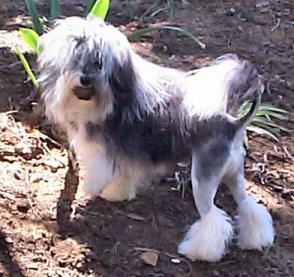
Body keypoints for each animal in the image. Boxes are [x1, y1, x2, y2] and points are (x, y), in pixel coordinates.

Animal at [37, 16, 276, 260]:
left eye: (99, 63)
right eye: (76, 59)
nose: (85, 79)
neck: (114, 98)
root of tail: (233, 123)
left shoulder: (106, 153)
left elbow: (103, 172)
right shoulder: (127, 155)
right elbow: (124, 175)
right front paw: (117, 193)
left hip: (203, 177)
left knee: (213, 217)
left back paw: (198, 252)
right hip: (234, 173)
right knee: (248, 205)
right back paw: (256, 240)